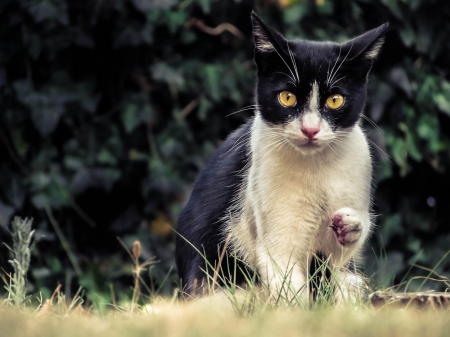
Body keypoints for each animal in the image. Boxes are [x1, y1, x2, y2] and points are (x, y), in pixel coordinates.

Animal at [175, 11, 386, 300]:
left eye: (335, 100)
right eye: (287, 98)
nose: (310, 129)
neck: (316, 166)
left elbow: (338, 258)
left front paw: (350, 227)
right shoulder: (274, 231)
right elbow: (289, 284)